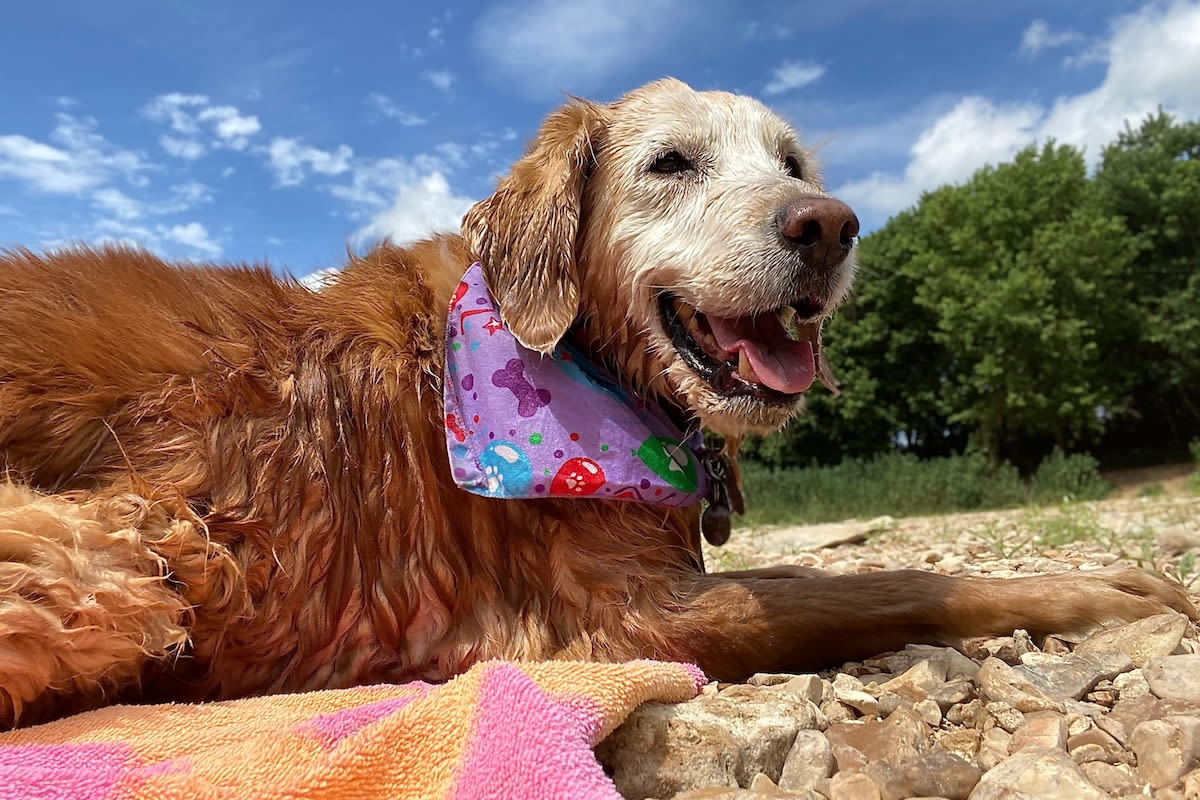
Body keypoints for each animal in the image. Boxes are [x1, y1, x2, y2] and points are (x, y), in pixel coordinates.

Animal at [0, 79, 1195, 724]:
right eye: (669, 163)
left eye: (792, 161)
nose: (829, 225)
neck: (586, 363)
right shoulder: (629, 620)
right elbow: (886, 581)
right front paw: (1108, 589)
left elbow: (843, 570)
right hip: (138, 545)